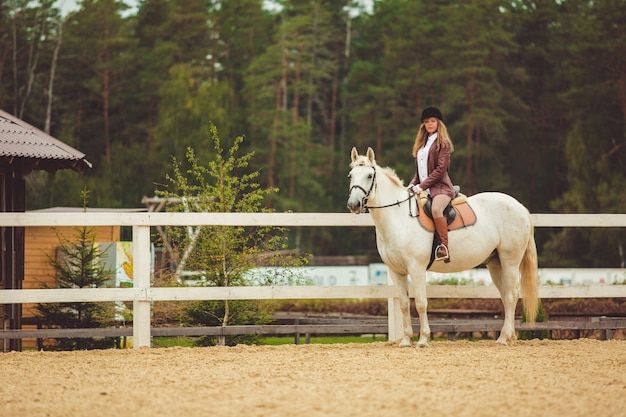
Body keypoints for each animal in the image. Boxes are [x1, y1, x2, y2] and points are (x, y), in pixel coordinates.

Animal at [346, 148, 536, 346]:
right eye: (350, 175)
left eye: (369, 175)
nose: (354, 204)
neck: (399, 217)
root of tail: (520, 207)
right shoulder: (396, 271)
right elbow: (404, 305)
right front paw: (406, 340)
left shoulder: (416, 268)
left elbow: (421, 303)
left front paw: (423, 340)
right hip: (495, 263)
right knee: (507, 296)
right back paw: (508, 336)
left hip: (510, 261)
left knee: (511, 295)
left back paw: (504, 338)